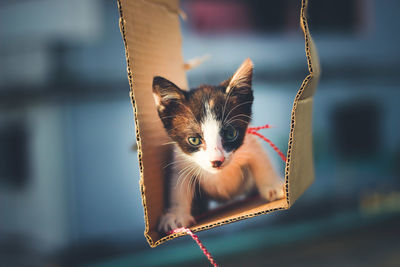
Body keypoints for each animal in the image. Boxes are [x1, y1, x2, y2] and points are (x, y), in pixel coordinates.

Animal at [152, 58, 284, 232]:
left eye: (231, 134)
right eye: (194, 140)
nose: (217, 161)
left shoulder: (250, 142)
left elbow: (261, 160)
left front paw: (274, 185)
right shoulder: (180, 159)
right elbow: (178, 185)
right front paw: (176, 215)